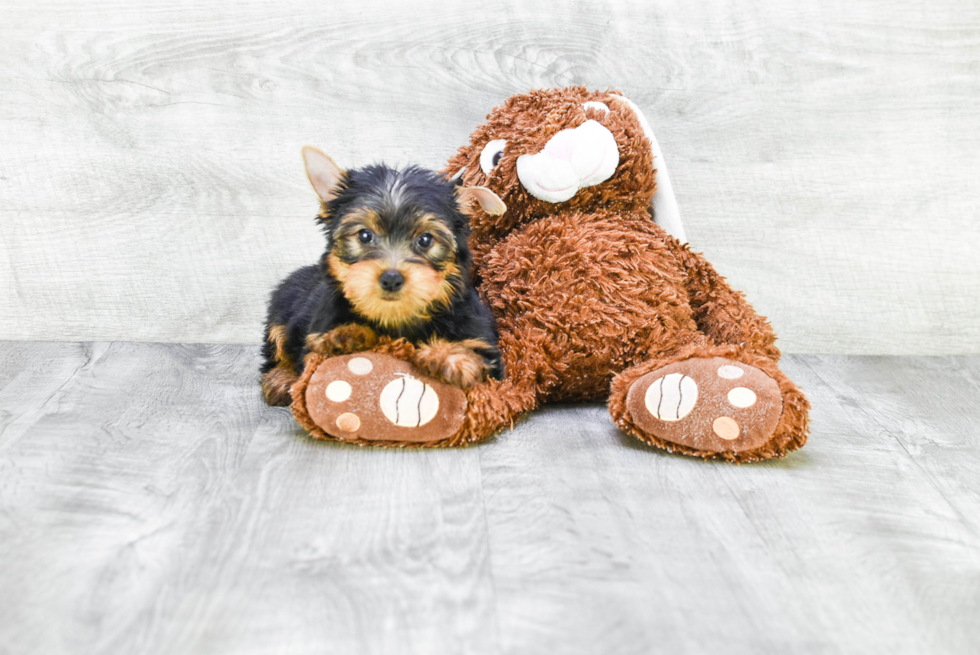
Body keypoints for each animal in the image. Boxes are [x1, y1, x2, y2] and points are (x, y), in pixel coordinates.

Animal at [260, 146, 506, 408]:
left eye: (425, 240)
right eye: (364, 235)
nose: (391, 278)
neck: (396, 318)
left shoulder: (482, 343)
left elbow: (479, 359)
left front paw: (448, 356)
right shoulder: (316, 333)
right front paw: (345, 335)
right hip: (282, 308)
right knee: (276, 347)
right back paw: (281, 378)